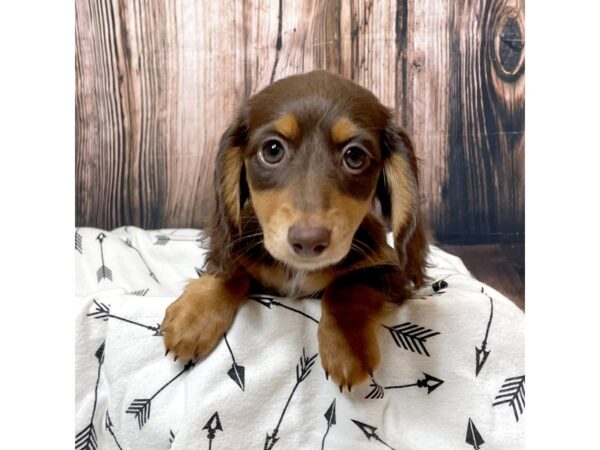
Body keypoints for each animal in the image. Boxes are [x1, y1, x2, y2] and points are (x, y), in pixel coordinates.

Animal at [162, 69, 428, 390]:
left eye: (354, 156)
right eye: (272, 150)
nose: (309, 242)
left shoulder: (388, 272)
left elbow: (346, 285)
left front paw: (347, 346)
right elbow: (233, 270)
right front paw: (195, 316)